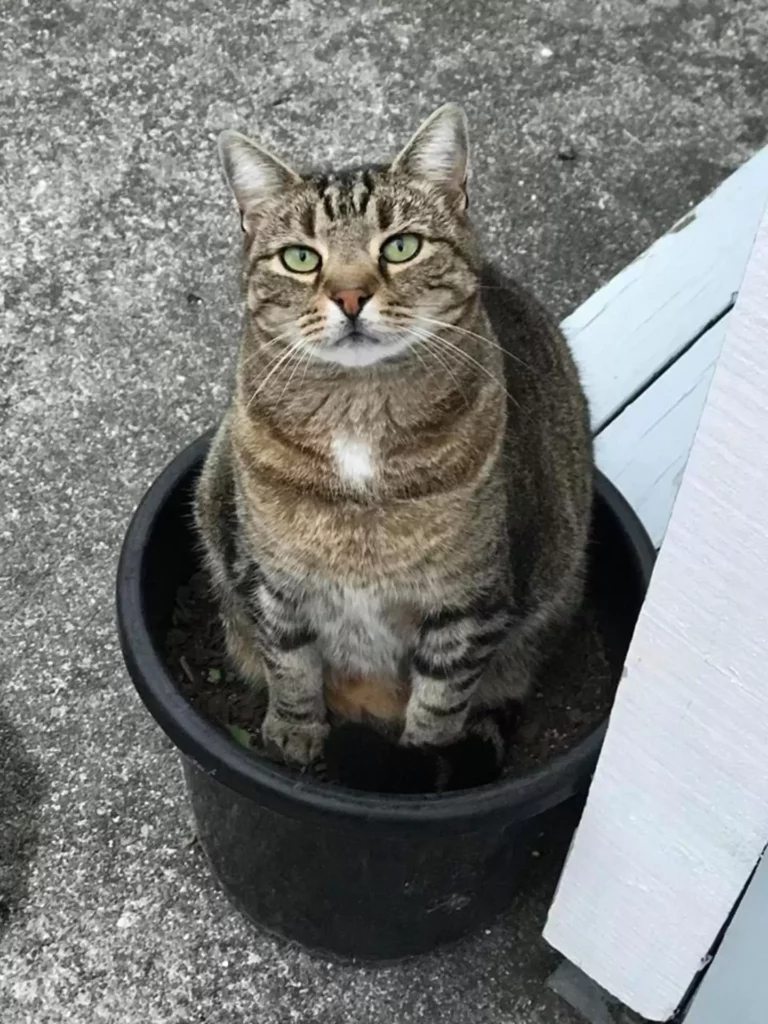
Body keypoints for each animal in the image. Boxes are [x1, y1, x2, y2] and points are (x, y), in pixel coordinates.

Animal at [195, 103, 593, 790]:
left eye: (401, 246)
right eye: (300, 258)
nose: (350, 296)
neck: (358, 415)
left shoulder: (469, 604)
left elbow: (439, 705)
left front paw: (413, 761)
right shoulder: (272, 581)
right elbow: (289, 664)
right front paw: (295, 734)